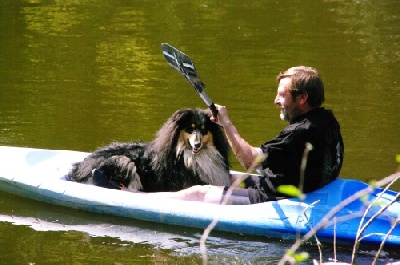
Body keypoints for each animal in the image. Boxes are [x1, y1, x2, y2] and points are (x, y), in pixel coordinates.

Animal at [67, 108, 231, 191]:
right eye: (190, 129)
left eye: (204, 130)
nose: (197, 145)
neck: (188, 156)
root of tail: (79, 168)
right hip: (123, 161)